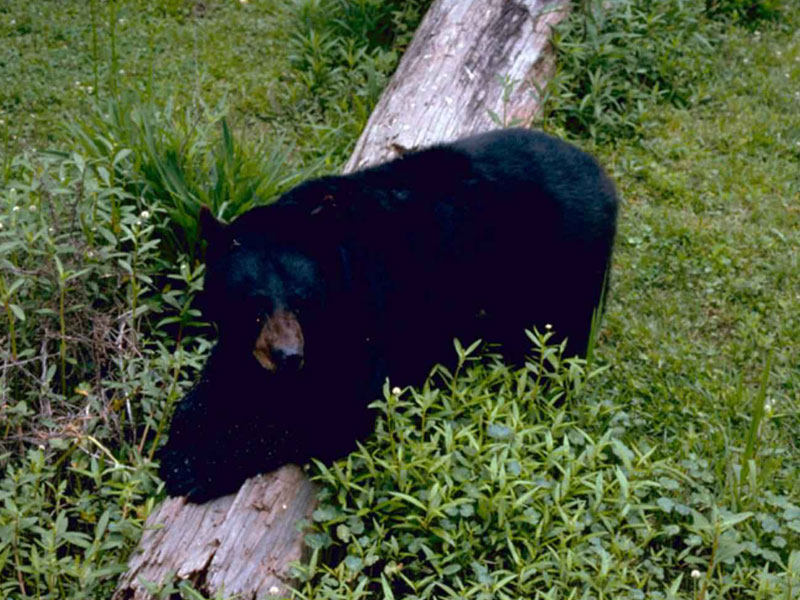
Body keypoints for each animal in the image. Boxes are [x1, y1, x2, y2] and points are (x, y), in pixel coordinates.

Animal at [157, 128, 619, 502]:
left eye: (302, 300)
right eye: (253, 306)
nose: (288, 357)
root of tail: (602, 176)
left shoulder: (368, 310)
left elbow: (334, 408)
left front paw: (192, 466)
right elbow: (223, 373)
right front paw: (184, 430)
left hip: (566, 263)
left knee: (560, 342)